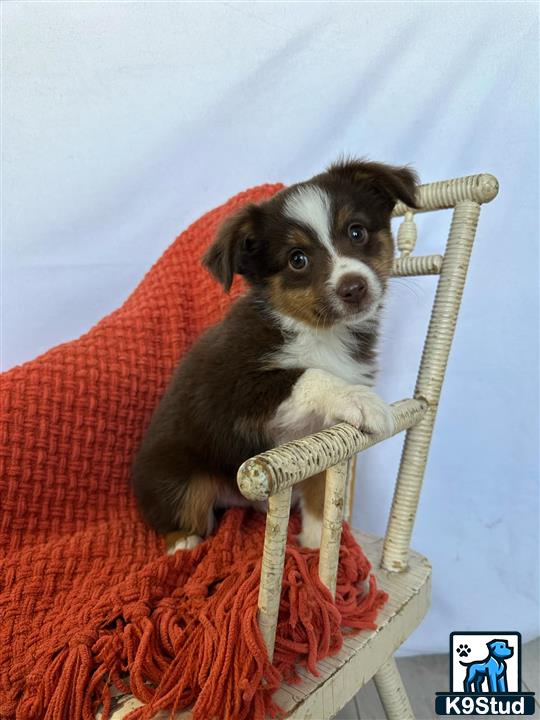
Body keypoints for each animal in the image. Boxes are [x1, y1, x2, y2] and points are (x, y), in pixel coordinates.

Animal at [131, 159, 418, 552]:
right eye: (297, 259)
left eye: (356, 232)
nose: (354, 288)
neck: (319, 332)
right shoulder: (236, 389)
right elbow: (309, 374)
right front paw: (361, 399)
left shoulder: (322, 436)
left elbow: (321, 492)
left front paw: (317, 545)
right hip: (183, 480)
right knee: (179, 514)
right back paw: (184, 544)